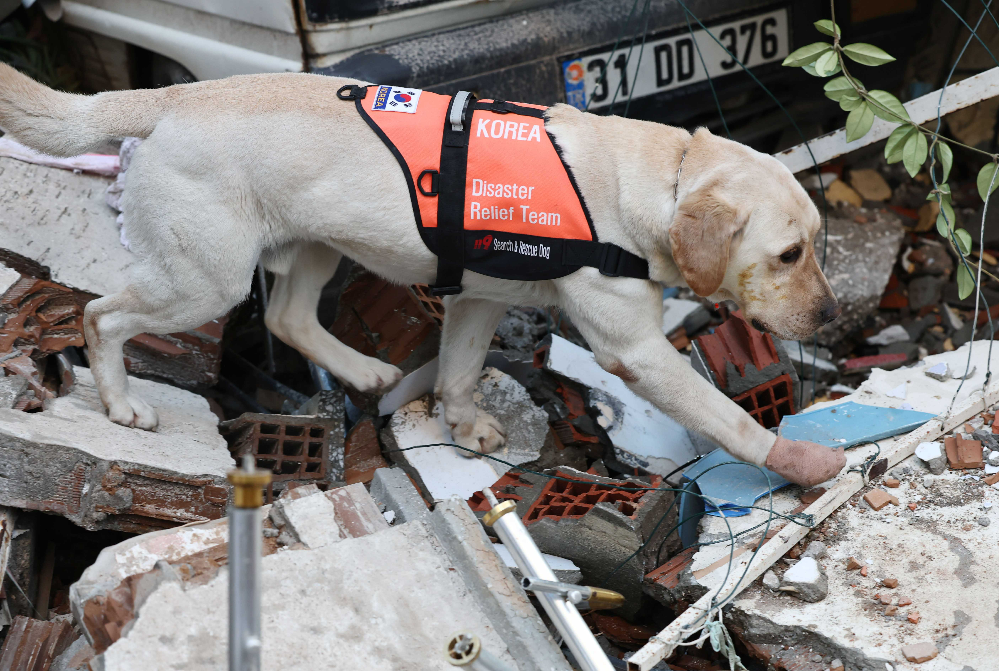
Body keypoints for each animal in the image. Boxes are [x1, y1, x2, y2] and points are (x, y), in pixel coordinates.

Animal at [0, 66, 846, 487]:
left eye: (816, 244)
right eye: (788, 254)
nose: (830, 320)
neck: (661, 181)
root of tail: (173, 95)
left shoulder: (476, 297)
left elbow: (462, 372)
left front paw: (461, 423)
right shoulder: (634, 352)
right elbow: (728, 419)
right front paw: (799, 462)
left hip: (314, 245)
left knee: (286, 317)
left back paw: (368, 373)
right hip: (203, 281)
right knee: (103, 315)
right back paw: (121, 404)